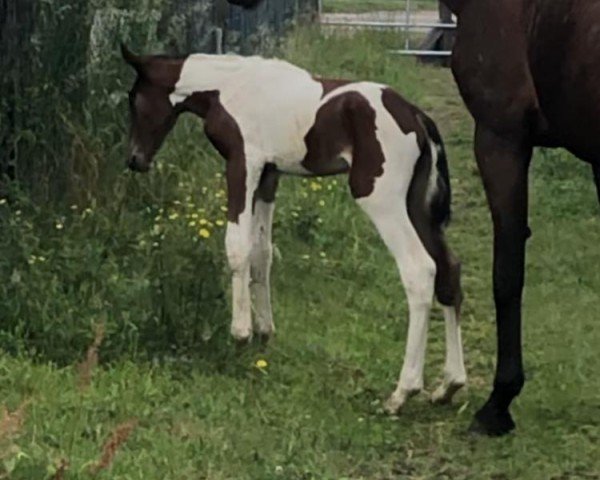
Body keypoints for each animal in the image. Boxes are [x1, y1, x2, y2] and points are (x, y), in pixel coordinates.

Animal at [122, 45, 466, 410]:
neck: (227, 88)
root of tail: (416, 117)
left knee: (420, 270)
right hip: (417, 207)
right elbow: (262, 252)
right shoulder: (269, 176)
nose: (135, 160)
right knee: (448, 270)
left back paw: (402, 393)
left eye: (134, 98)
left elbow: (237, 247)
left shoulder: (243, 164)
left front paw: (241, 333)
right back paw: (448, 385)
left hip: (380, 199)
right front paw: (264, 332)